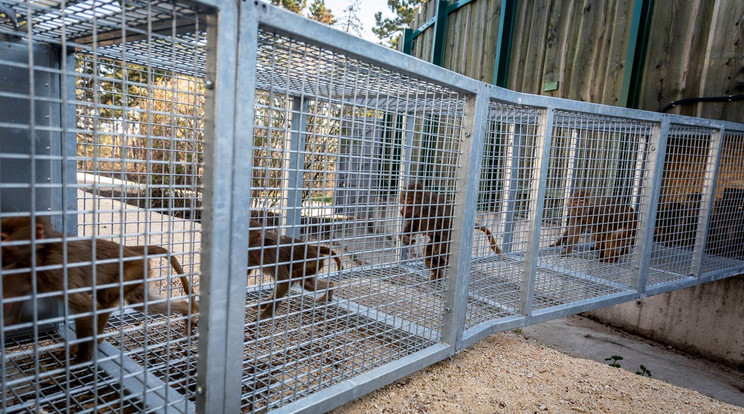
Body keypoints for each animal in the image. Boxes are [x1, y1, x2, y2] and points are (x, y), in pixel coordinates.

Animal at [0, 217, 198, 362]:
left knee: (105, 298)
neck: (42, 252)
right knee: (137, 302)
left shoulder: (55, 269)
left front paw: (81, 360)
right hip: (139, 272)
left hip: (134, 269)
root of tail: (129, 250)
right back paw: (185, 308)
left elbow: (86, 307)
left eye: (2, 238)